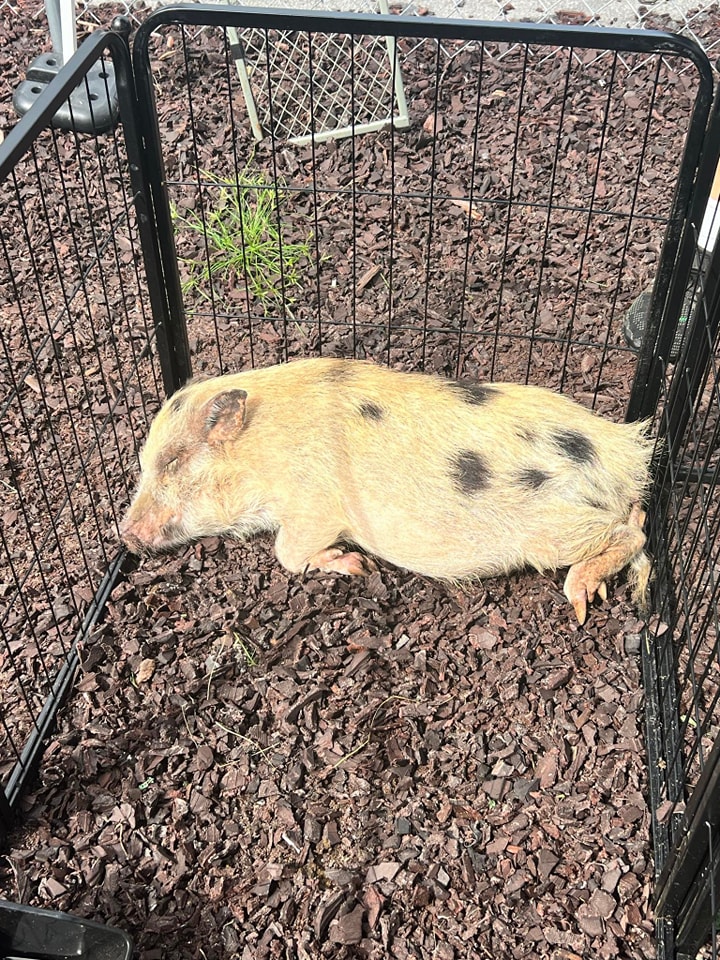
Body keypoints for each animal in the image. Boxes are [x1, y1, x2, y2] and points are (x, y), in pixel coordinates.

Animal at [121, 358, 656, 624]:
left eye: (172, 461)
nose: (124, 532)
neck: (263, 450)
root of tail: (622, 456)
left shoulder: (312, 505)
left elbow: (286, 552)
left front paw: (356, 565)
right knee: (638, 524)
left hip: (550, 530)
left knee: (632, 538)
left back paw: (580, 599)